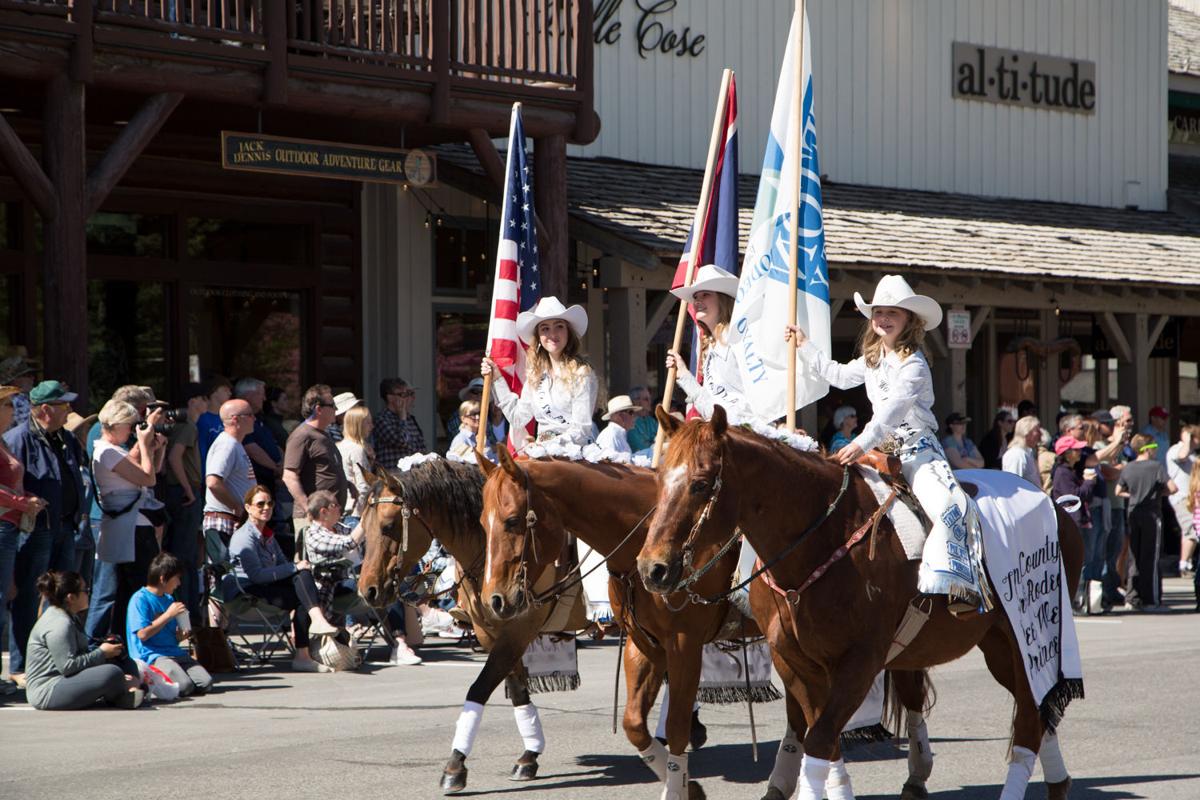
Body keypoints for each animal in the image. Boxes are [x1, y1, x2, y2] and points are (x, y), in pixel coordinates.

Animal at [357, 460, 554, 791]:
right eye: (362, 526)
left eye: (388, 526)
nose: (367, 590)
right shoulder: (493, 634)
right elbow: (516, 690)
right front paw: (529, 756)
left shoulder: (519, 629)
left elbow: (479, 688)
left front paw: (455, 765)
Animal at [477, 450, 936, 800]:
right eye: (483, 523)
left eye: (514, 520)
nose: (495, 600)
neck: (648, 532)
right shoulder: (644, 644)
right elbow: (634, 726)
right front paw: (688, 785)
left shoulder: (684, 643)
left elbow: (677, 725)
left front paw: (681, 785)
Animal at [638, 410, 1089, 800]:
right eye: (658, 479)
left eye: (700, 483)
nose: (652, 568)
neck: (823, 539)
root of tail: (1057, 507)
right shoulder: (795, 660)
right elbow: (822, 738)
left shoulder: (861, 661)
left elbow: (820, 739)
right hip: (997, 644)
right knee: (1040, 713)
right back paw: (1058, 782)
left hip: (1025, 639)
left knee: (1030, 717)